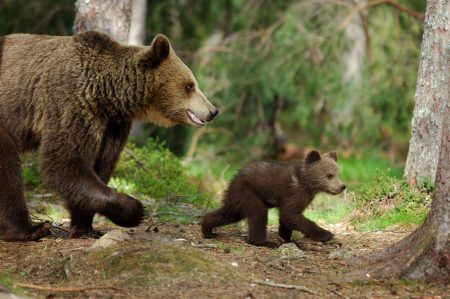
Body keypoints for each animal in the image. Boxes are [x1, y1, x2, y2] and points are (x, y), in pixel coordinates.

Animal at [0, 31, 218, 241]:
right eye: (189, 86)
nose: (213, 111)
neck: (105, 92)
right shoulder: (70, 102)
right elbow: (65, 161)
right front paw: (135, 210)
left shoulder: (112, 124)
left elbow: (100, 165)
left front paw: (84, 226)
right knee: (9, 172)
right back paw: (29, 230)